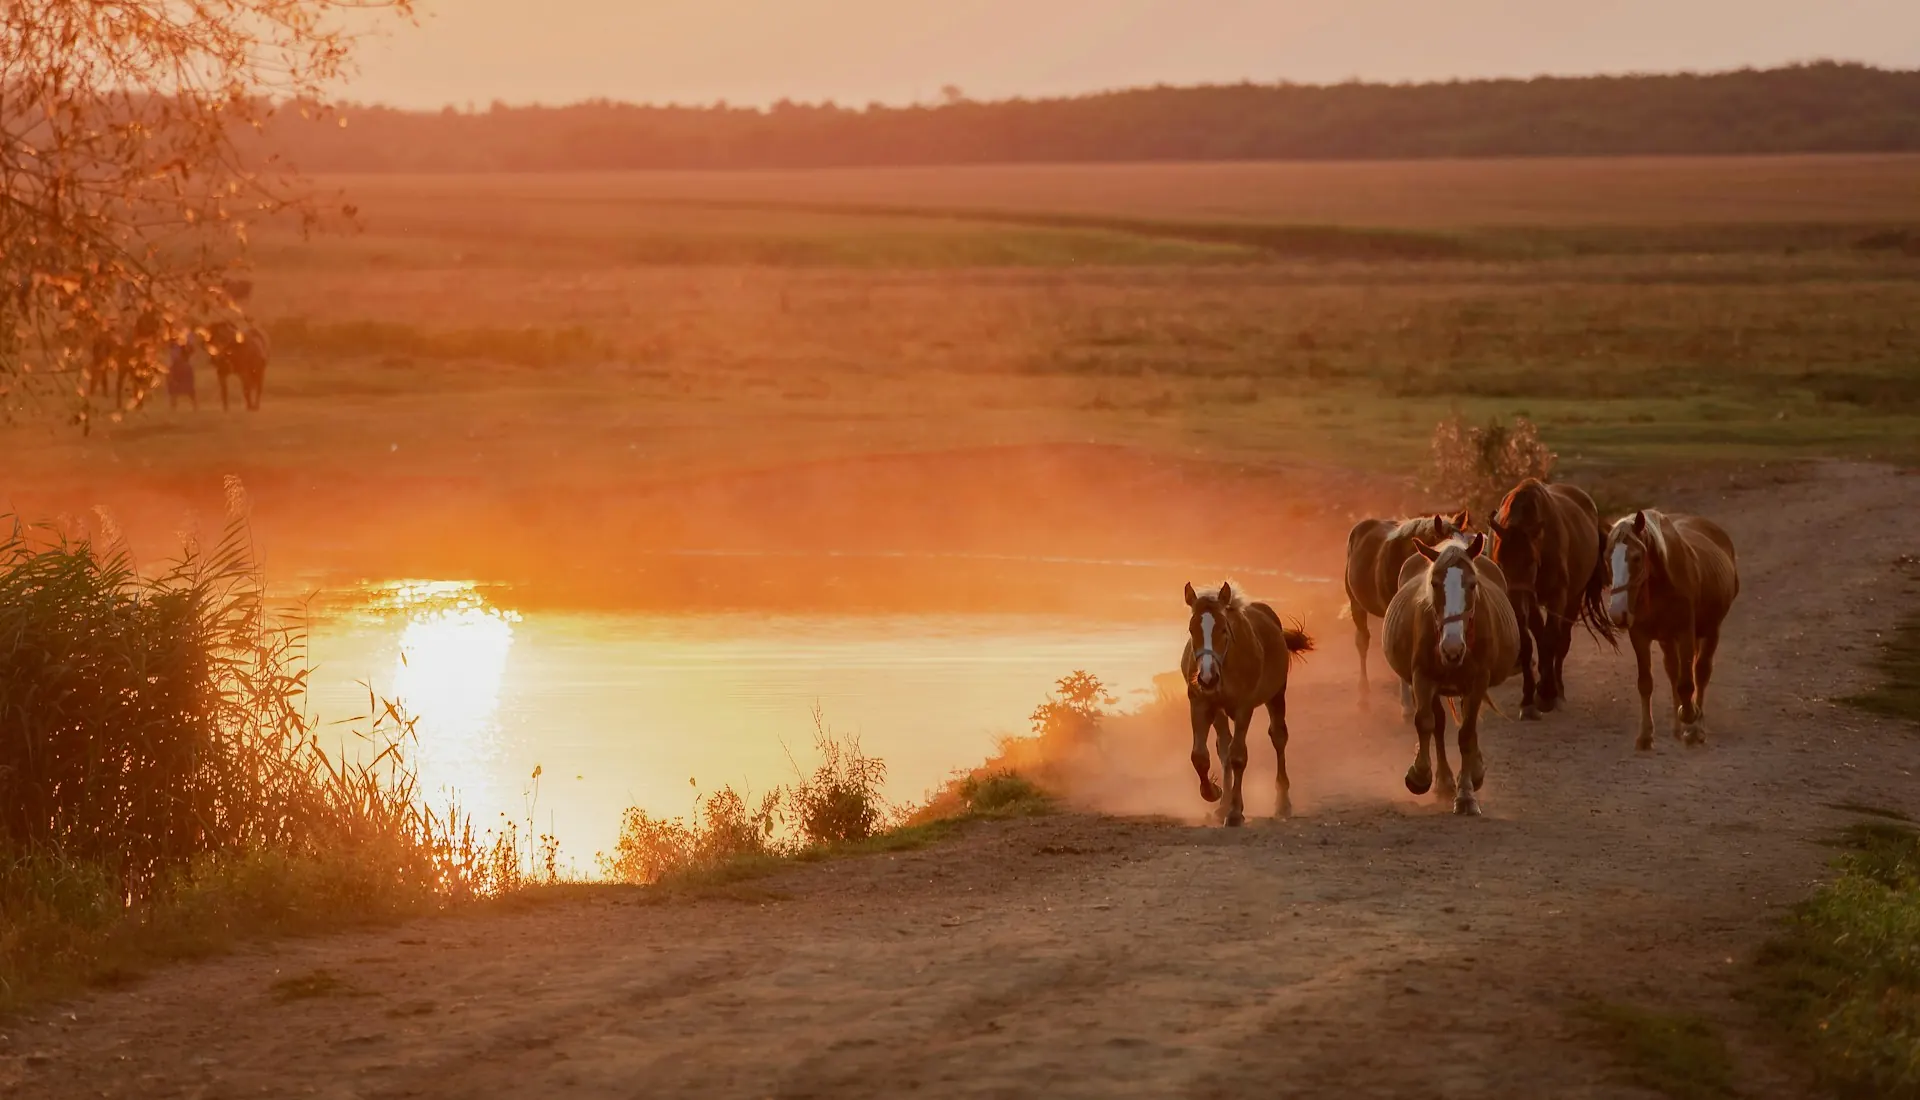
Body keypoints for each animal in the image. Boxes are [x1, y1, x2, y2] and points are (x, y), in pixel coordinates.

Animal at [1181, 581, 1314, 826]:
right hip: (1219, 712)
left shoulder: (1244, 708)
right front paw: (1214, 793)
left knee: (1278, 737)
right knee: (1223, 747)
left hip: (1277, 695)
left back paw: (1282, 803)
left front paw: (1235, 812)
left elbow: (1238, 756)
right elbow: (1200, 757)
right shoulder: (1200, 703)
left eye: (1224, 629)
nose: (1207, 678)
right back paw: (1221, 806)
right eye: (1192, 629)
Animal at [1383, 534, 1520, 816]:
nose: (1452, 648)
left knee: (1468, 723)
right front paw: (1420, 775)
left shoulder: (1478, 682)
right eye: (1434, 583)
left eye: (1472, 584)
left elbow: (1466, 734)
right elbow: (1426, 722)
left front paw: (1466, 794)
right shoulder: (1422, 677)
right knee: (1438, 723)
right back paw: (1444, 781)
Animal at [1486, 479, 1614, 720]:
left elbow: (1551, 641)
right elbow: (1529, 643)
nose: (1515, 603)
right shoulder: (1527, 600)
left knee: (1561, 641)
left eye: (1531, 562)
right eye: (1499, 562)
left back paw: (1558, 692)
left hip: (1573, 598)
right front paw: (1528, 699)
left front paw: (1546, 694)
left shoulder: (1557, 596)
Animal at [1603, 510, 1740, 750]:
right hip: (1667, 639)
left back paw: (1696, 726)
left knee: (1701, 673)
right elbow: (1646, 683)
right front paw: (1646, 735)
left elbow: (1686, 684)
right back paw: (1678, 727)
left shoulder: (1685, 633)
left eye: (1636, 558)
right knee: (1673, 671)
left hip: (1710, 631)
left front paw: (1690, 717)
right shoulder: (1640, 636)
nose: (1618, 613)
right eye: (1607, 558)